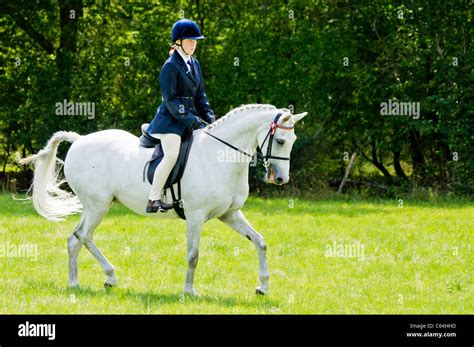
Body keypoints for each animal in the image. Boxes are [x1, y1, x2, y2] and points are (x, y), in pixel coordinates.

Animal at [23, 104, 308, 296]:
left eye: (292, 140)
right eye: (279, 140)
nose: (280, 179)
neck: (220, 155)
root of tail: (80, 139)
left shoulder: (229, 214)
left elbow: (260, 242)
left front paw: (263, 286)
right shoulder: (195, 216)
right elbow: (193, 255)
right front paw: (190, 292)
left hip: (97, 205)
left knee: (75, 238)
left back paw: (84, 281)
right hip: (98, 205)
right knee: (83, 236)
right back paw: (102, 278)